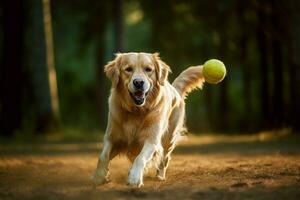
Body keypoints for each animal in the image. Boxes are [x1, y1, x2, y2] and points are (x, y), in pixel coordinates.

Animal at [91, 52, 204, 187]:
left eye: (148, 69)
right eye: (128, 69)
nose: (138, 82)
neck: (137, 111)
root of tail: (174, 88)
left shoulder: (151, 140)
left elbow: (140, 158)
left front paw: (134, 178)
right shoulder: (112, 138)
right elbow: (103, 156)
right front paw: (99, 176)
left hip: (169, 138)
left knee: (164, 159)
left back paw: (160, 176)